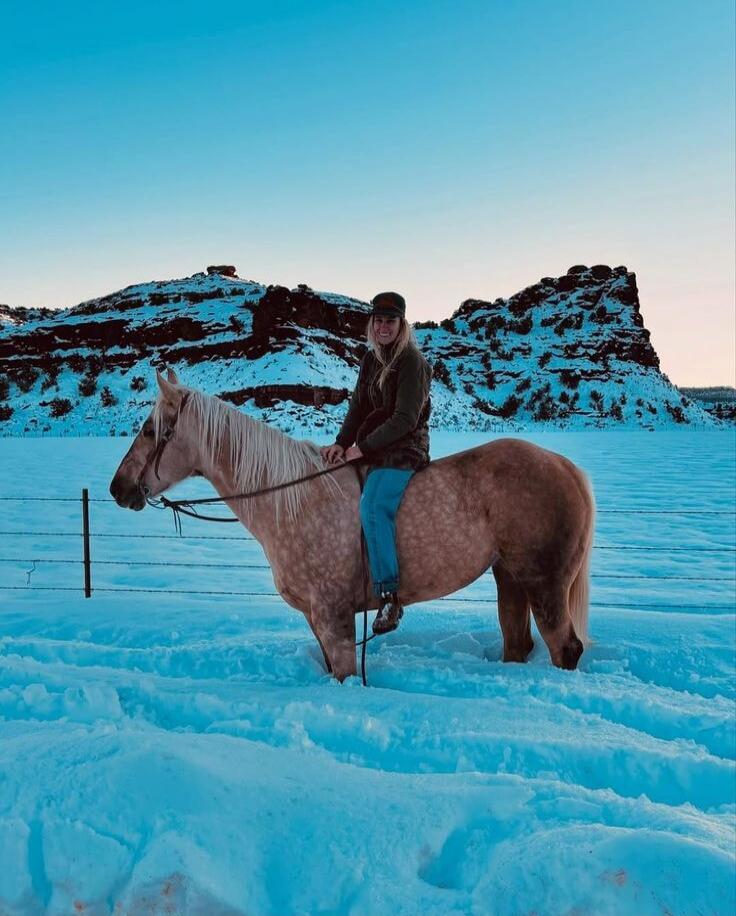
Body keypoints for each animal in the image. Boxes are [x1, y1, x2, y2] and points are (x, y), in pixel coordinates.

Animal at [109, 370, 596, 682]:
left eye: (150, 429)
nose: (118, 488)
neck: (293, 501)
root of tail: (565, 467)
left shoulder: (334, 617)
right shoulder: (316, 619)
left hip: (545, 583)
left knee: (564, 648)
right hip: (510, 577)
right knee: (518, 644)